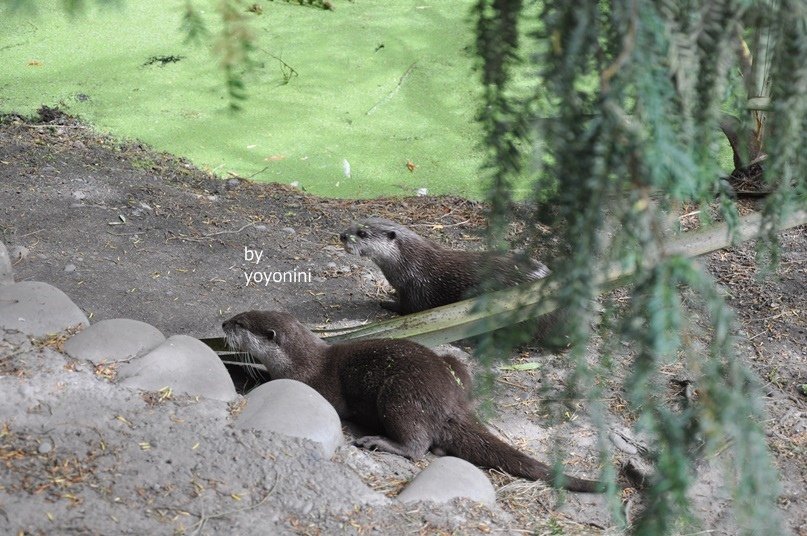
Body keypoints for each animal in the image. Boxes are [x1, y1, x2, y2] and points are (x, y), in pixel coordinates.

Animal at [224, 310, 604, 494]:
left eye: (241, 323)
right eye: (242, 313)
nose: (223, 322)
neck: (302, 360)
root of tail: (450, 403)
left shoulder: (316, 382)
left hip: (399, 396)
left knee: (417, 445)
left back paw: (380, 442)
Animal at [338, 218, 552, 316]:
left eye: (362, 233)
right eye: (354, 224)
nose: (342, 235)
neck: (410, 264)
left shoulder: (417, 289)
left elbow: (408, 309)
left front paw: (387, 303)